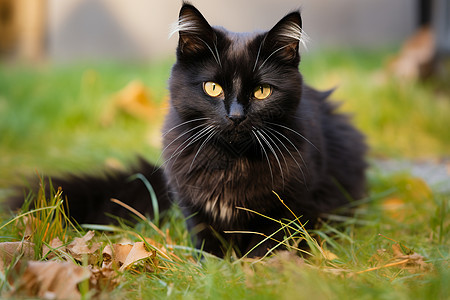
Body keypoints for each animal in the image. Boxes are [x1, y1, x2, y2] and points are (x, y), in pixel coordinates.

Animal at [12, 3, 368, 258]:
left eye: (262, 92)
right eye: (212, 88)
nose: (236, 115)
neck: (230, 162)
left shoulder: (289, 209)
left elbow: (271, 244)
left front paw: (259, 269)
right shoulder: (193, 208)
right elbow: (207, 244)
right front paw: (213, 269)